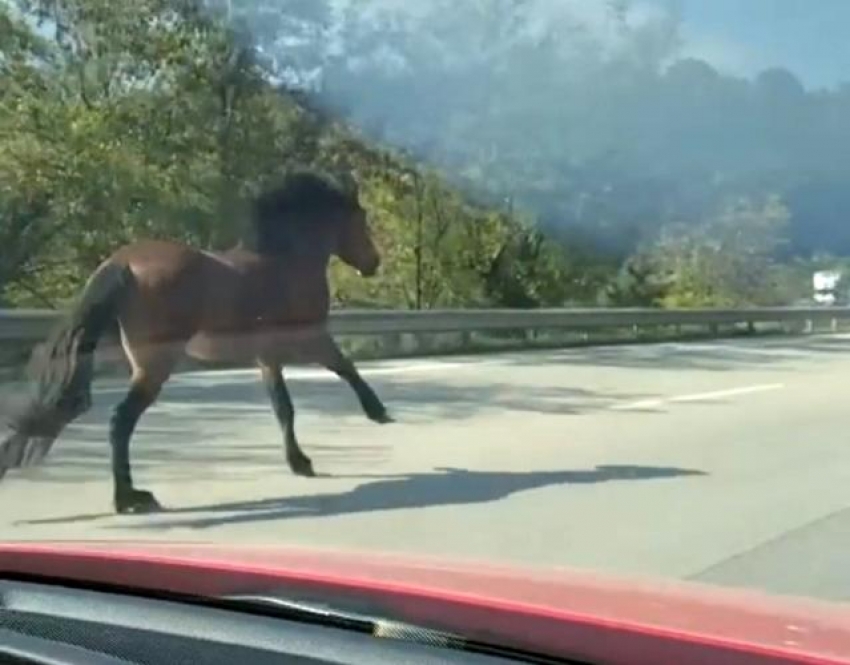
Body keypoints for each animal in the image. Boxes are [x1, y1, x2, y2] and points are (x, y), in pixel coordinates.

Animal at [0, 166, 390, 512]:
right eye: (361, 218)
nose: (374, 263)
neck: (287, 260)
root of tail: (123, 262)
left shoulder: (267, 356)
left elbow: (283, 408)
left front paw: (299, 462)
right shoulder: (310, 338)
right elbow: (345, 367)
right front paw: (378, 412)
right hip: (155, 366)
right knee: (121, 421)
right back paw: (130, 498)